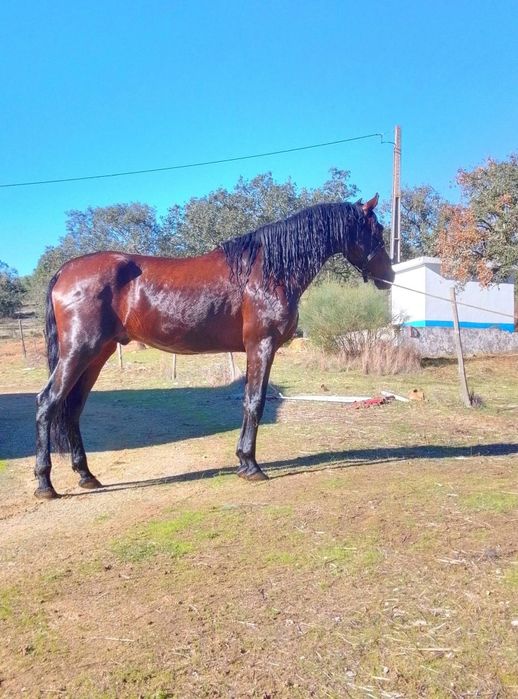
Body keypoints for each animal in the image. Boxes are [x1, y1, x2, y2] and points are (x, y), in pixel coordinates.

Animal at [34, 194, 394, 499]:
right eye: (376, 230)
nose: (388, 276)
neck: (267, 271)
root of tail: (65, 271)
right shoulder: (261, 346)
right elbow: (255, 402)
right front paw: (251, 465)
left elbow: (250, 401)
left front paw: (244, 461)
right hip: (79, 351)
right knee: (47, 403)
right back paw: (45, 484)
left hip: (97, 354)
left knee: (73, 408)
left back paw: (86, 475)